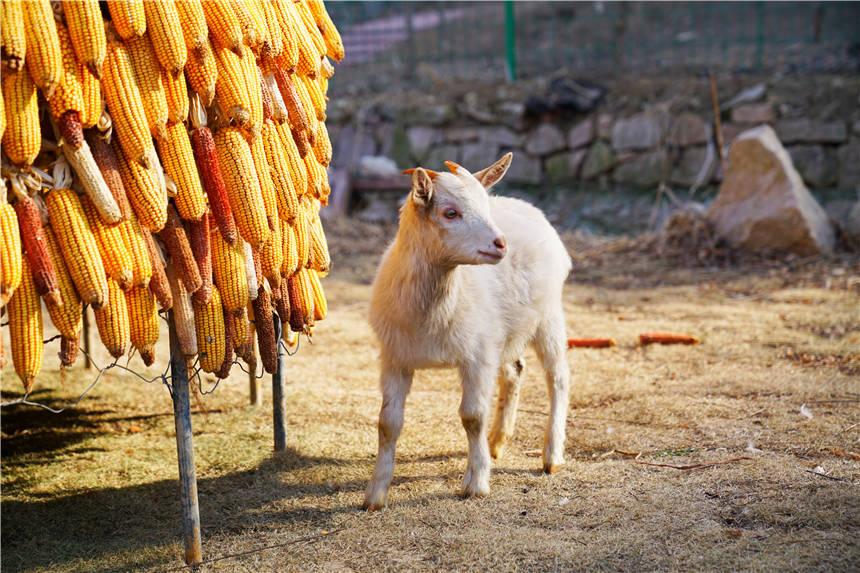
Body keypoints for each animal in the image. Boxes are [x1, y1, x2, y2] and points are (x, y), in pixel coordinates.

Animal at [362, 153, 572, 510]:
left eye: (485, 207)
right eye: (450, 212)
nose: (501, 244)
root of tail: (527, 206)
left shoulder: (477, 356)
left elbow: (472, 416)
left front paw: (476, 483)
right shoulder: (395, 358)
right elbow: (388, 423)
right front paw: (375, 493)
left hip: (548, 315)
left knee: (557, 377)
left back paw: (551, 455)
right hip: (507, 332)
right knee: (516, 370)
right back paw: (498, 441)